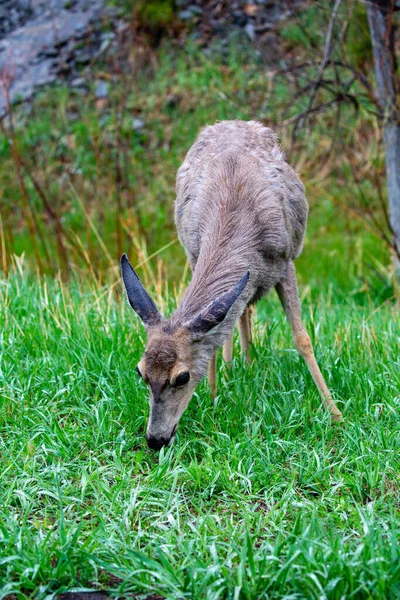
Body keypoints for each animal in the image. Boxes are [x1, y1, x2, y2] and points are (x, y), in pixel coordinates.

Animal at [120, 120, 342, 450]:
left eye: (182, 377)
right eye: (141, 372)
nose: (156, 439)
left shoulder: (286, 261)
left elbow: (302, 338)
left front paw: (335, 413)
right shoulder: (195, 254)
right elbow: (217, 337)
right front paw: (213, 398)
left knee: (244, 312)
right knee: (239, 316)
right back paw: (233, 371)